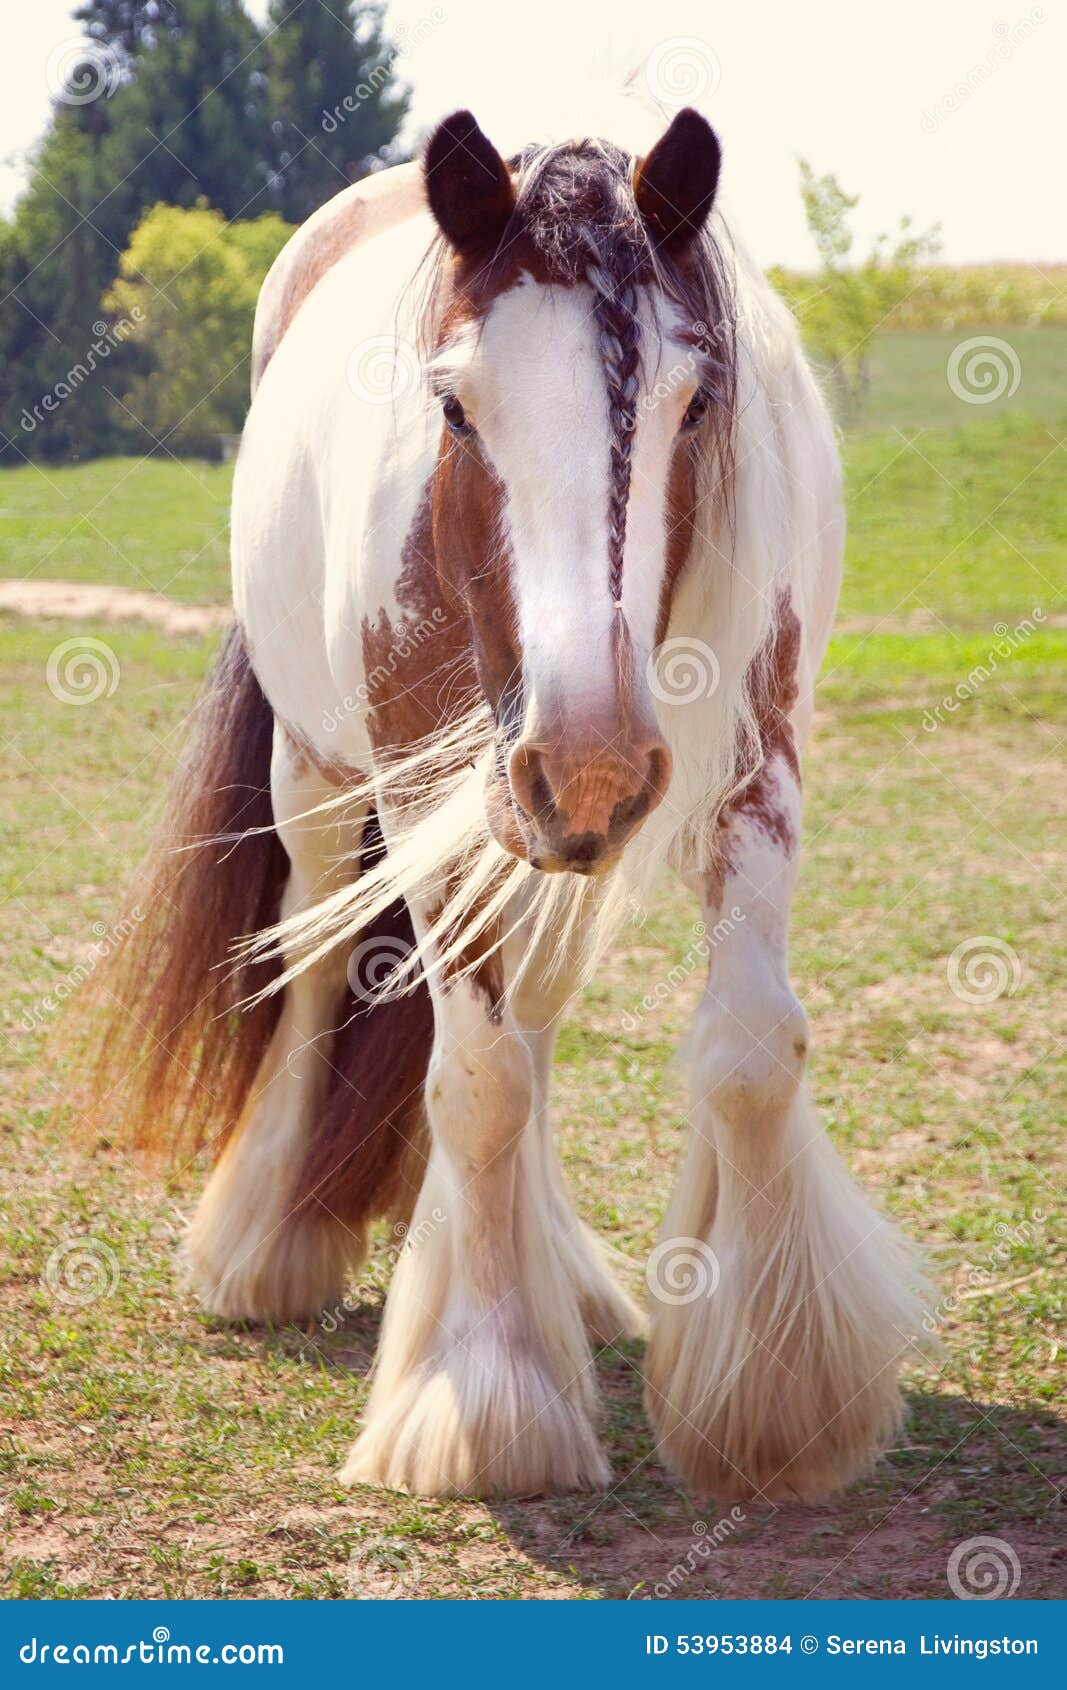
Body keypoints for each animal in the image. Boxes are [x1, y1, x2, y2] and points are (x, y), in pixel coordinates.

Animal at [89, 105, 926, 1500]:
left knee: (530, 1010)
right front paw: (483, 1398)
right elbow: (473, 1080)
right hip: (331, 785)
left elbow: (749, 1046)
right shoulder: (430, 783)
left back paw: (564, 1283)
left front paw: (773, 1393)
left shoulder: (756, 762)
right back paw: (267, 1245)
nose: (585, 761)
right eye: (454, 405)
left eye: (697, 400)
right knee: (320, 965)